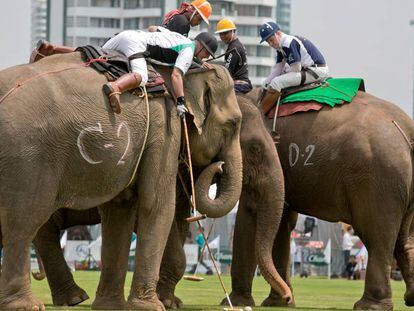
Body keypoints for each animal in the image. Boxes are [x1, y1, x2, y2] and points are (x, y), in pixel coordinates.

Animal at [0, 51, 246, 311]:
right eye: (232, 124)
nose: (219, 167)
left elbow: (120, 208)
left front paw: (110, 306)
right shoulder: (164, 129)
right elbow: (156, 205)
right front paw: (150, 307)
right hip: (27, 157)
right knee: (24, 222)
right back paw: (29, 305)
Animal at [15, 88, 294, 310]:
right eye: (255, 149)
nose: (289, 298)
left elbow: (177, 219)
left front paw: (170, 301)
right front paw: (166, 302)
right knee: (42, 230)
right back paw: (74, 299)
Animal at [226, 88, 414, 311]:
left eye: (255, 149)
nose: (287, 297)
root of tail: (406, 130)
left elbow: (249, 212)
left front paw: (237, 302)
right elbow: (282, 221)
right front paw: (278, 303)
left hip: (378, 180)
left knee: (377, 236)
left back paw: (369, 305)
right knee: (404, 238)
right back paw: (410, 297)